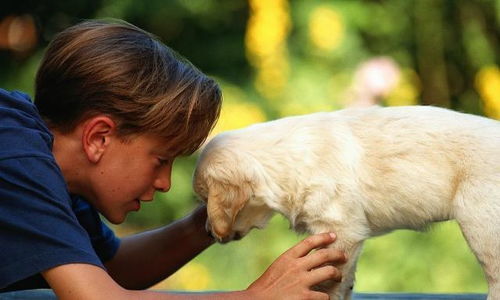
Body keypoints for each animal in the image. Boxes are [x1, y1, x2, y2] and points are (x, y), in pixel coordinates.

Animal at [192, 106, 500, 300]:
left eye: (206, 199)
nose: (206, 231)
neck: (284, 160)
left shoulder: (340, 230)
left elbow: (329, 283)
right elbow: (345, 281)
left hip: (483, 225)